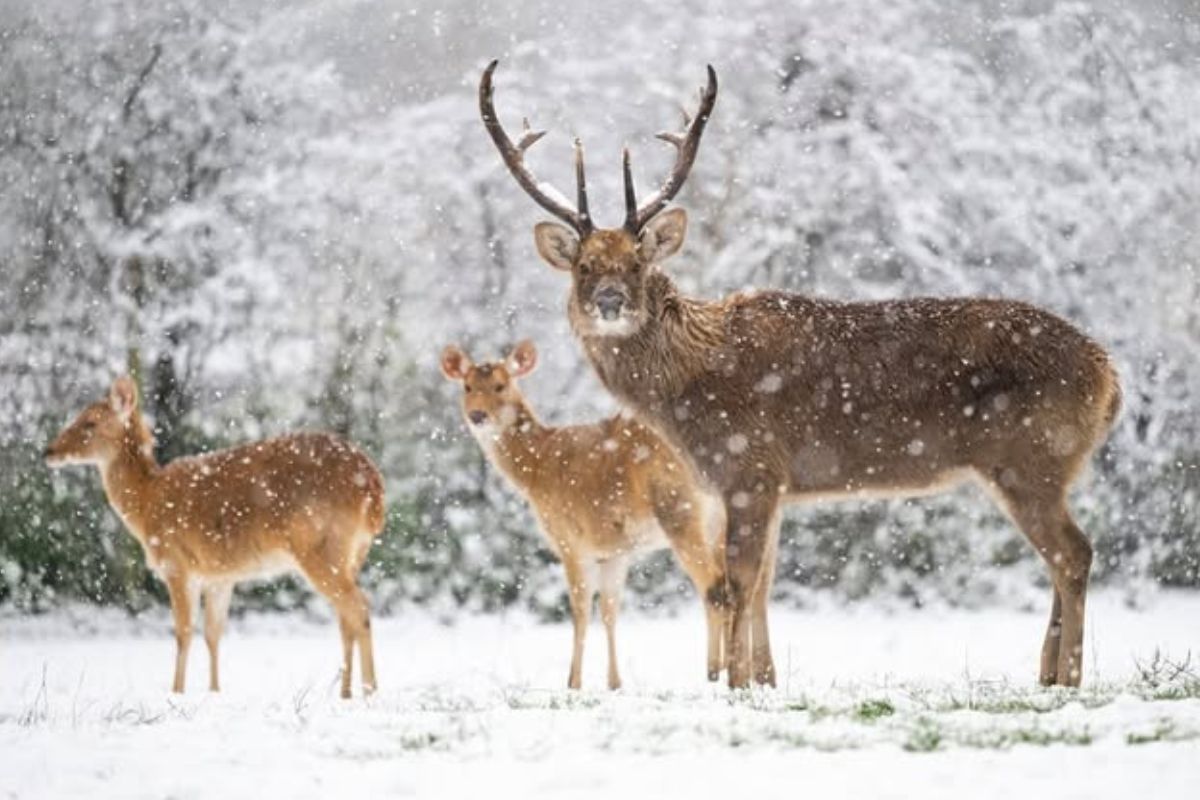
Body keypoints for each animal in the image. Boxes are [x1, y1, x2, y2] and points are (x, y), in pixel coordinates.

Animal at [45, 379, 384, 695]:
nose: (49, 451)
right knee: (345, 617)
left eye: (89, 422)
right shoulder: (220, 575)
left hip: (320, 544)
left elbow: (183, 632)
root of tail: (374, 489)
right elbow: (213, 633)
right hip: (354, 551)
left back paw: (370, 691)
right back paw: (346, 693)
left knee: (359, 607)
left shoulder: (176, 564)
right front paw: (214, 691)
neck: (147, 504)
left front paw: (176, 692)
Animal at [439, 338, 720, 690]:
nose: (477, 415)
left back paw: (717, 672)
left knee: (714, 583)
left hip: (679, 507)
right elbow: (610, 610)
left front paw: (573, 682)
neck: (536, 469)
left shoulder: (569, 539)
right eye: (467, 386)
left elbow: (581, 610)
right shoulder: (614, 550)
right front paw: (614, 682)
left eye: (501, 385)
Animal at [480, 61, 1123, 690]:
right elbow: (764, 581)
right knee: (1063, 556)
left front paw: (736, 684)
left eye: (639, 263)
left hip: (1031, 456)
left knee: (1075, 553)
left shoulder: (749, 464)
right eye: (585, 267)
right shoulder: (767, 483)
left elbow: (738, 579)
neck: (686, 393)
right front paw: (765, 680)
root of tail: (1110, 377)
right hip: (1037, 465)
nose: (610, 301)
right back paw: (1046, 674)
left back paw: (1068, 678)